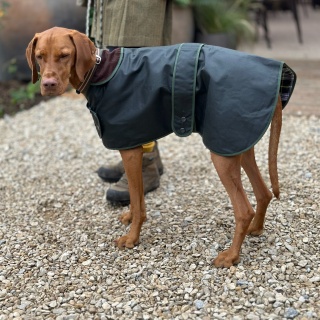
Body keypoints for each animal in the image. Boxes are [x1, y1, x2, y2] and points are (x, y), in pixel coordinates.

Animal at [26, 26, 292, 268]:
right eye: (40, 56)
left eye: (64, 55)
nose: (48, 84)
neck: (100, 71)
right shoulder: (133, 145)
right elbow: (137, 200)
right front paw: (131, 219)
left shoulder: (130, 151)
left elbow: (137, 199)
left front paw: (132, 238)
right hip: (238, 144)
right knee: (264, 193)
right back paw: (255, 229)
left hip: (222, 155)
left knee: (244, 210)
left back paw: (231, 256)